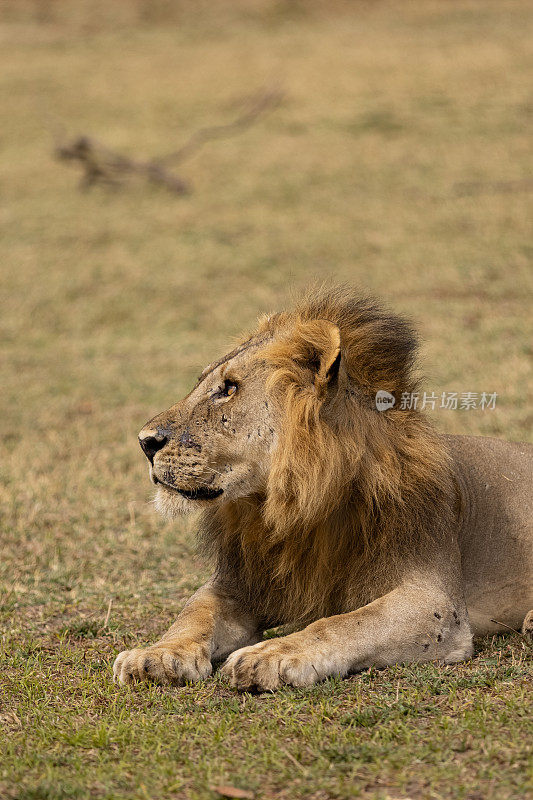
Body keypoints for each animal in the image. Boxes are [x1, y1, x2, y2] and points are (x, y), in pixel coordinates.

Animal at [113, 290, 532, 692]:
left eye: (229, 388)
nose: (144, 442)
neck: (291, 506)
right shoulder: (239, 583)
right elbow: (193, 614)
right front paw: (156, 654)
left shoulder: (437, 601)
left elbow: (342, 623)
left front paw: (271, 655)